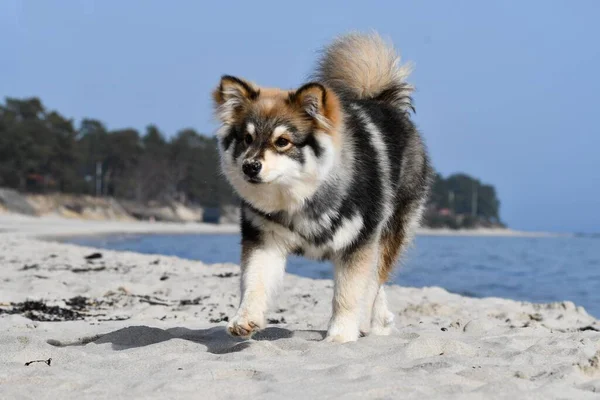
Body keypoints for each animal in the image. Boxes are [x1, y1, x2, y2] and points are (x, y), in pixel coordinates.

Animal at [213, 32, 434, 342]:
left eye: (283, 141)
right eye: (246, 138)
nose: (250, 166)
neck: (302, 196)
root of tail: (381, 100)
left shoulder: (359, 242)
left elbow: (349, 294)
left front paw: (340, 336)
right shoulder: (264, 239)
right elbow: (254, 282)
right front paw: (245, 319)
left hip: (391, 230)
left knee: (376, 280)